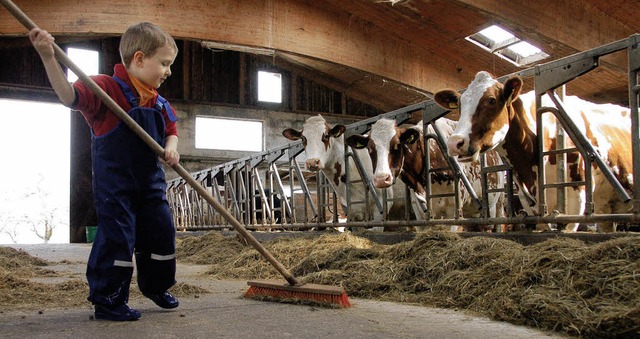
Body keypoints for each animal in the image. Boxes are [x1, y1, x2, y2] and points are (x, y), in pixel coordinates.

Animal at [344, 117, 504, 231]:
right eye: (370, 149)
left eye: (397, 145)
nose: (381, 179)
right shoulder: (420, 210)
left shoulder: (454, 211)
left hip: (496, 205)